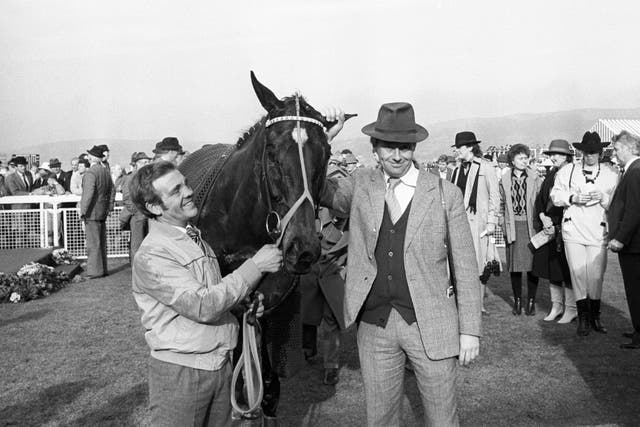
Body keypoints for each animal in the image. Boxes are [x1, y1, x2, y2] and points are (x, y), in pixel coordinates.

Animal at [178, 72, 352, 422]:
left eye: (326, 153)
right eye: (271, 151)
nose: (303, 248)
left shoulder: (272, 301)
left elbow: (268, 387)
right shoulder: (227, 302)